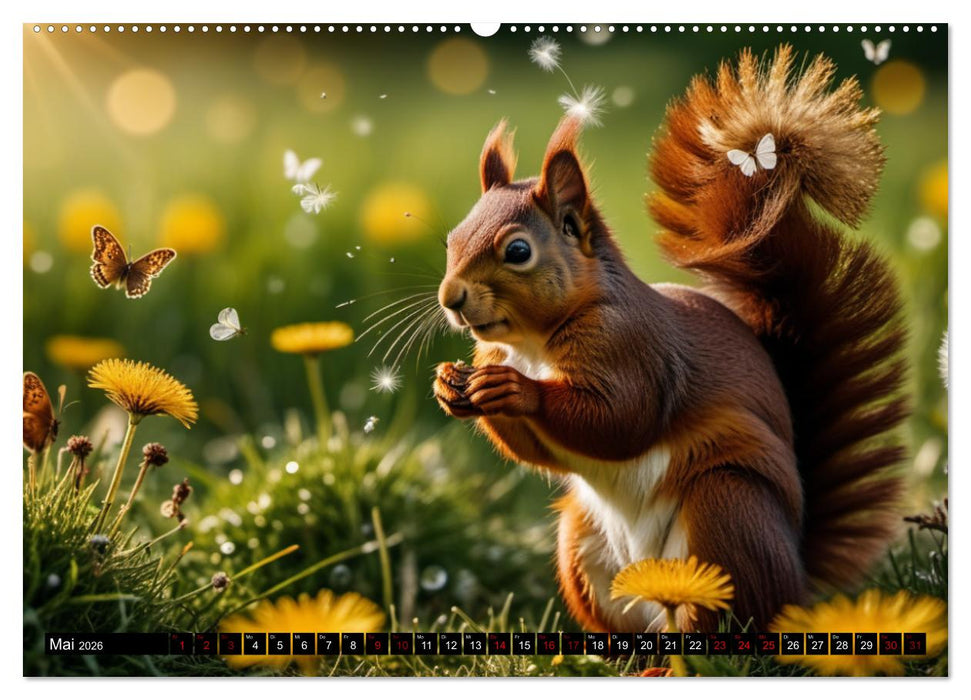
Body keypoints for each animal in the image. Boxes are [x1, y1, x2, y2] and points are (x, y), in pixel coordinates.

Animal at [432, 45, 908, 632]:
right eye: (452, 238)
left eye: (518, 251)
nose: (450, 297)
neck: (533, 345)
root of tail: (796, 583)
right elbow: (537, 449)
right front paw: (451, 387)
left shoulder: (633, 349)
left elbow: (622, 419)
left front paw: (515, 391)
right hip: (583, 546)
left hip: (724, 511)